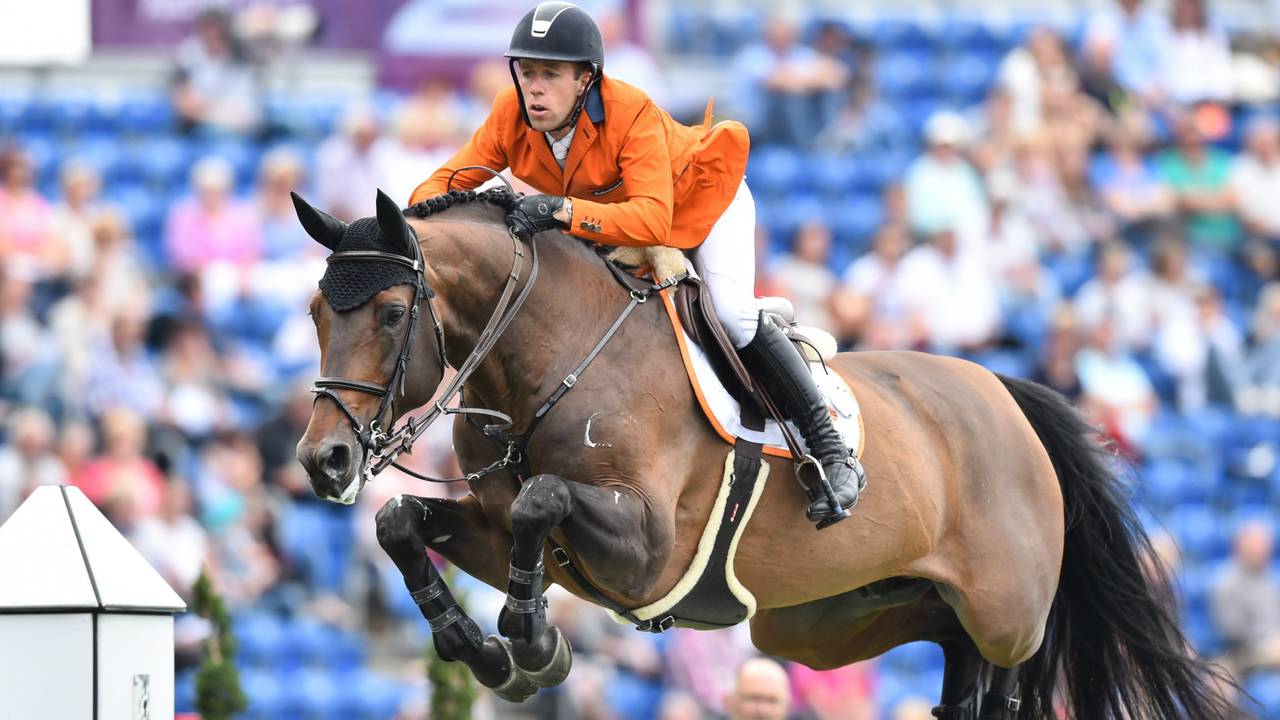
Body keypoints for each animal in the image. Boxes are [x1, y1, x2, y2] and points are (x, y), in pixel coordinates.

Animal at [292, 188, 1232, 719]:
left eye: (388, 313)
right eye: (313, 312)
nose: (323, 462)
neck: (551, 357)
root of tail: (1008, 394)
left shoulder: (645, 552)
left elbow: (541, 499)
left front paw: (527, 638)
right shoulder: (508, 536)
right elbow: (403, 522)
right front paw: (487, 651)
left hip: (1009, 613)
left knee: (1005, 670)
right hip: (825, 622)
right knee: (950, 649)